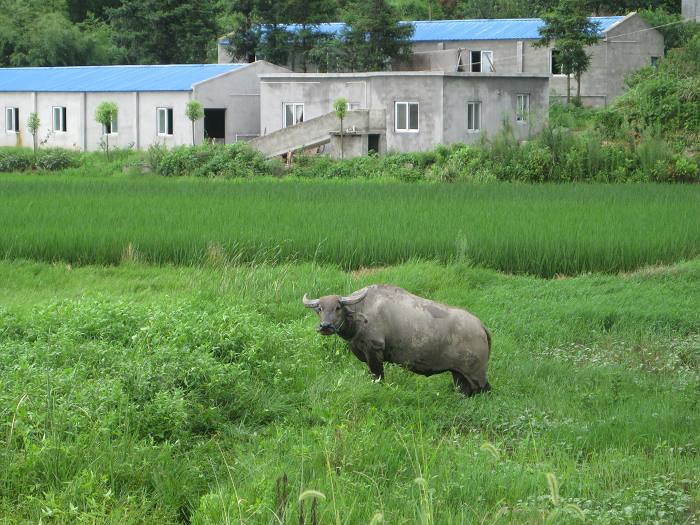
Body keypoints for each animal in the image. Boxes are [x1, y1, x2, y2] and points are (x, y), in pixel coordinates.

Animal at [302, 284, 492, 396]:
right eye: (320, 308)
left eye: (337, 307)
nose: (325, 326)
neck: (363, 312)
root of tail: (481, 326)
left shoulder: (374, 353)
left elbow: (378, 377)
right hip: (458, 374)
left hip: (476, 374)